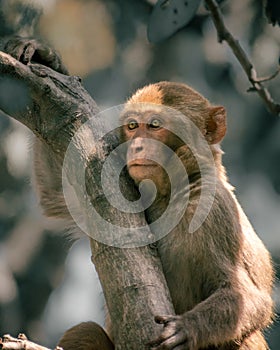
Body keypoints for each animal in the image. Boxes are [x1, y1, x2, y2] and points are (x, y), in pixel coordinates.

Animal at [2, 39, 274, 348]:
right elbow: (54, 195)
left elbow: (251, 298)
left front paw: (187, 328)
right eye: (133, 126)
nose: (138, 146)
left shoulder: (214, 211)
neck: (172, 192)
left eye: (155, 125)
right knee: (83, 330)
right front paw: (47, 58)